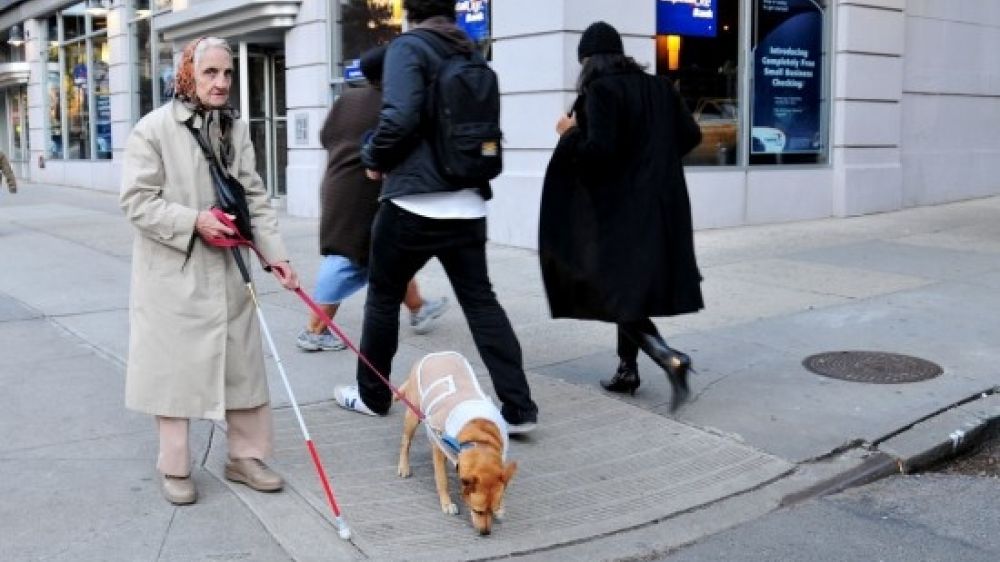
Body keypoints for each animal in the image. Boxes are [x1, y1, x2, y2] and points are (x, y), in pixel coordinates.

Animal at [396, 350, 520, 532]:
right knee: (406, 442)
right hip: (413, 415)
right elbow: (442, 479)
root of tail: (437, 354)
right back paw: (404, 466)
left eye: (492, 510)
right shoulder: (438, 448)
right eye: (477, 511)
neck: (478, 441)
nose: (485, 533)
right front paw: (447, 503)